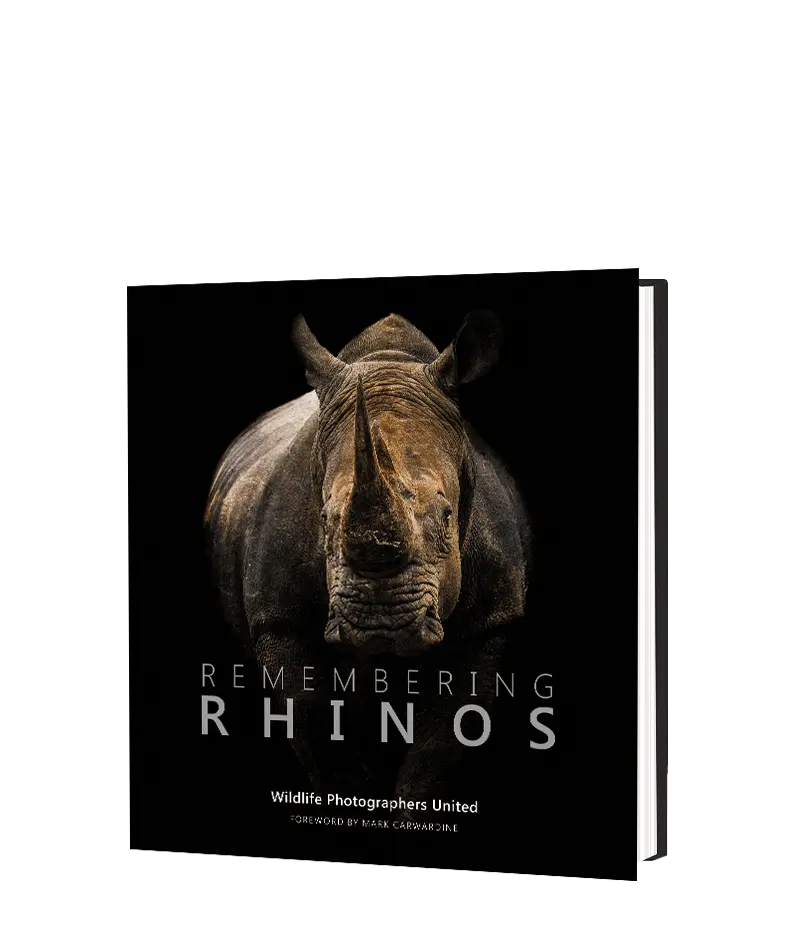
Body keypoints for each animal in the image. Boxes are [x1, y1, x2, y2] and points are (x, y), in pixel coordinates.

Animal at [205, 312, 531, 801]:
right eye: (323, 519)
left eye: (448, 516)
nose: (381, 624)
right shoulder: (281, 622)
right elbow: (322, 739)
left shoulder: (491, 624)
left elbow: (434, 758)